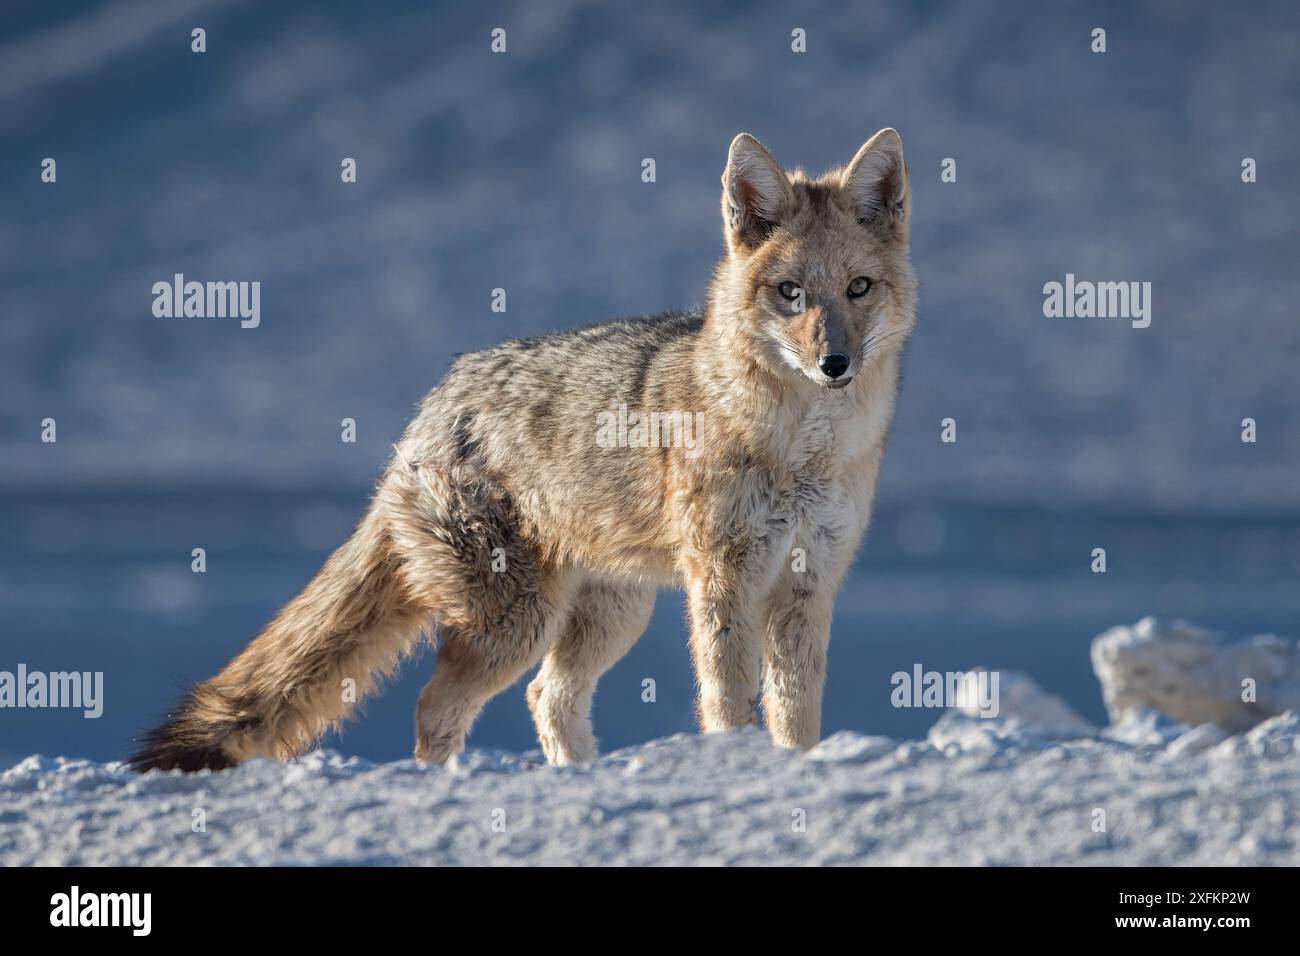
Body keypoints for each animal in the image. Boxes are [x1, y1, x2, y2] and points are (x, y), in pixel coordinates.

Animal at [127, 129, 917, 772]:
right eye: (790, 293)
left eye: (858, 288)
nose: (835, 364)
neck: (803, 451)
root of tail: (440, 396)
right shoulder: (724, 583)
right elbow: (728, 708)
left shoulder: (808, 585)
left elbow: (797, 717)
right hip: (518, 622)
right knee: (438, 707)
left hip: (609, 617)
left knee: (546, 697)